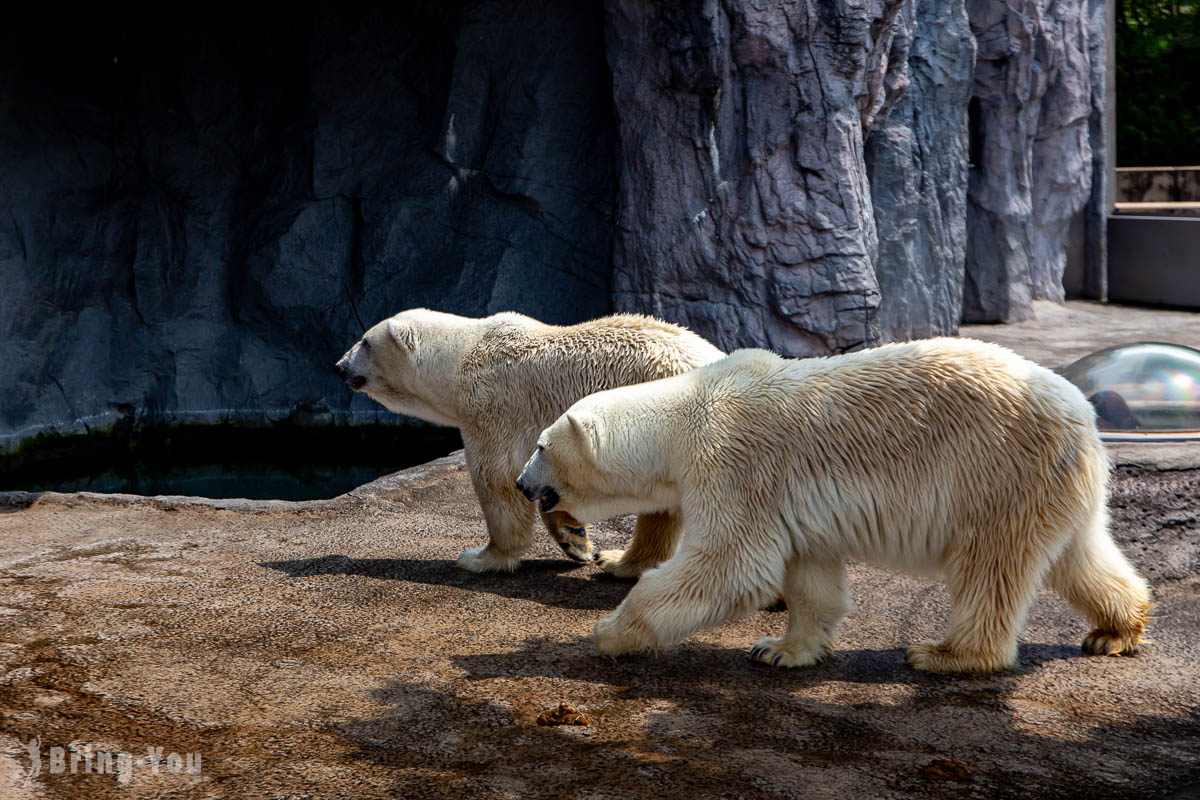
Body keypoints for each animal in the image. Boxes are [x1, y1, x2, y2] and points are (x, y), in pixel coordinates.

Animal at [336, 309, 720, 575]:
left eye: (365, 341)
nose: (339, 365)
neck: (461, 357)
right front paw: (574, 539)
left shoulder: (493, 405)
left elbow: (498, 477)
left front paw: (482, 557)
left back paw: (619, 562)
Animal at [516, 340, 1152, 676]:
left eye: (541, 445)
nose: (522, 484)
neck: (688, 409)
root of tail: (1083, 414)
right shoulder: (786, 500)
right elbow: (808, 571)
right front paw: (781, 649)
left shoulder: (735, 463)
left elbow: (730, 564)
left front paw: (608, 631)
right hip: (1052, 486)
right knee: (1078, 554)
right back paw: (1116, 628)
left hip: (996, 474)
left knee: (989, 567)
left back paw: (946, 653)